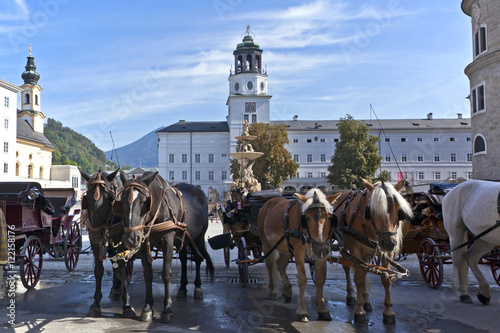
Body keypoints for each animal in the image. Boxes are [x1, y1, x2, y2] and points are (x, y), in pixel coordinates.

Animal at [77, 169, 135, 316]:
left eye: (109, 198)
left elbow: (122, 271)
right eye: (86, 198)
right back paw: (116, 288)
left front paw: (127, 304)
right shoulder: (95, 242)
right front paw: (96, 303)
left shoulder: (122, 242)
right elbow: (99, 270)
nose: (97, 234)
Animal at [112, 171, 214, 322]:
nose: (131, 238)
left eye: (145, 202)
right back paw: (182, 287)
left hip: (199, 238)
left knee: (197, 258)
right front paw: (148, 307)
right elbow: (148, 275)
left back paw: (197, 287)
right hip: (183, 240)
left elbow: (166, 274)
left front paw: (167, 309)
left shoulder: (168, 241)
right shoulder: (144, 244)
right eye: (122, 200)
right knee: (184, 259)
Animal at [258, 189, 340, 322]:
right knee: (270, 265)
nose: (322, 250)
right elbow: (302, 279)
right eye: (307, 218)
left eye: (329, 218)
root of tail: (269, 202)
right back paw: (273, 290)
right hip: (266, 242)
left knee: (280, 264)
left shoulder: (319, 253)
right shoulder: (298, 253)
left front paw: (322, 308)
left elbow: (319, 279)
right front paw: (302, 311)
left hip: (286, 247)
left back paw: (287, 290)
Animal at [336, 180, 414, 322]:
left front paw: (388, 312)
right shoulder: (356, 250)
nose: (389, 242)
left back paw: (366, 300)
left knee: (365, 270)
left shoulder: (386, 252)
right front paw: (359, 311)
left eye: (399, 211)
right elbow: (359, 279)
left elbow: (386, 279)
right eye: (372, 211)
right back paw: (350, 295)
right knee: (347, 268)